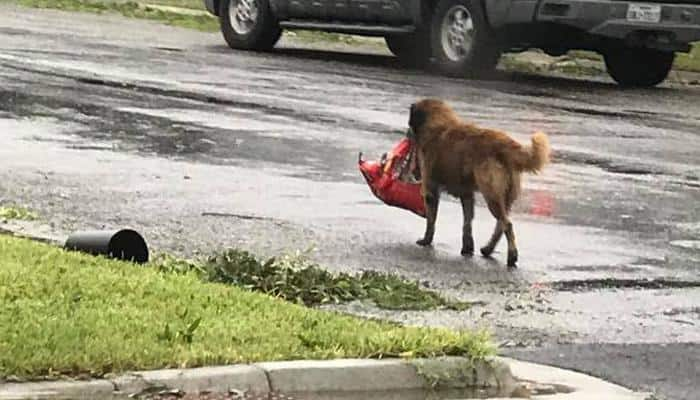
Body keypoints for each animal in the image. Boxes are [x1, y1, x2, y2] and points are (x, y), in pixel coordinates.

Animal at [408, 98, 548, 268]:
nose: (408, 132)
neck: (439, 124)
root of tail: (504, 144)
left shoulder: (431, 190)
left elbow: (431, 220)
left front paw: (426, 240)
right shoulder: (467, 195)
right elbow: (467, 223)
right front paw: (467, 248)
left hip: (492, 195)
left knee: (507, 224)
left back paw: (511, 256)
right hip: (505, 197)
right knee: (501, 225)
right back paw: (488, 249)